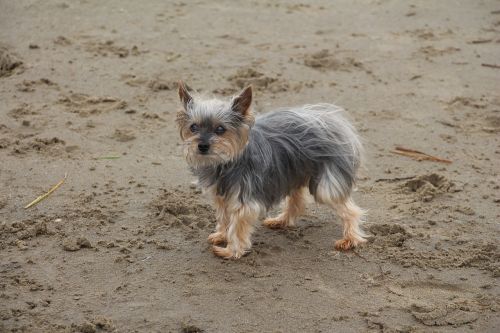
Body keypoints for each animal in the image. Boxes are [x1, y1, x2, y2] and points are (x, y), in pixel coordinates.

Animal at [176, 81, 368, 258]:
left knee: (349, 210)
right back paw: (281, 220)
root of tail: (331, 123)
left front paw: (231, 251)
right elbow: (224, 217)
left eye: (220, 129)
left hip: (325, 184)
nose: (202, 146)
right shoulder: (222, 196)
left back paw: (350, 239)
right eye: (193, 127)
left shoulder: (243, 200)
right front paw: (221, 236)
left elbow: (236, 226)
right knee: (297, 200)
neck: (225, 162)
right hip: (293, 170)